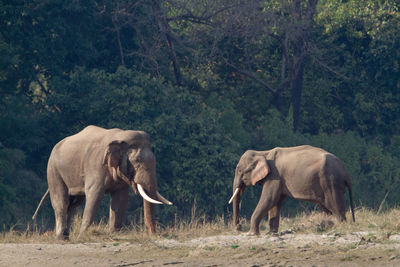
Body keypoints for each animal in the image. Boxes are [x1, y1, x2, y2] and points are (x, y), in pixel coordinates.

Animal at [32, 125, 172, 241]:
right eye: (137, 161)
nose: (154, 234)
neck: (120, 136)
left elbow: (121, 198)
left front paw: (114, 234)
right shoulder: (96, 165)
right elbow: (95, 195)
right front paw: (83, 236)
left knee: (74, 204)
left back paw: (66, 237)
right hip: (53, 170)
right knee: (61, 200)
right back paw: (62, 238)